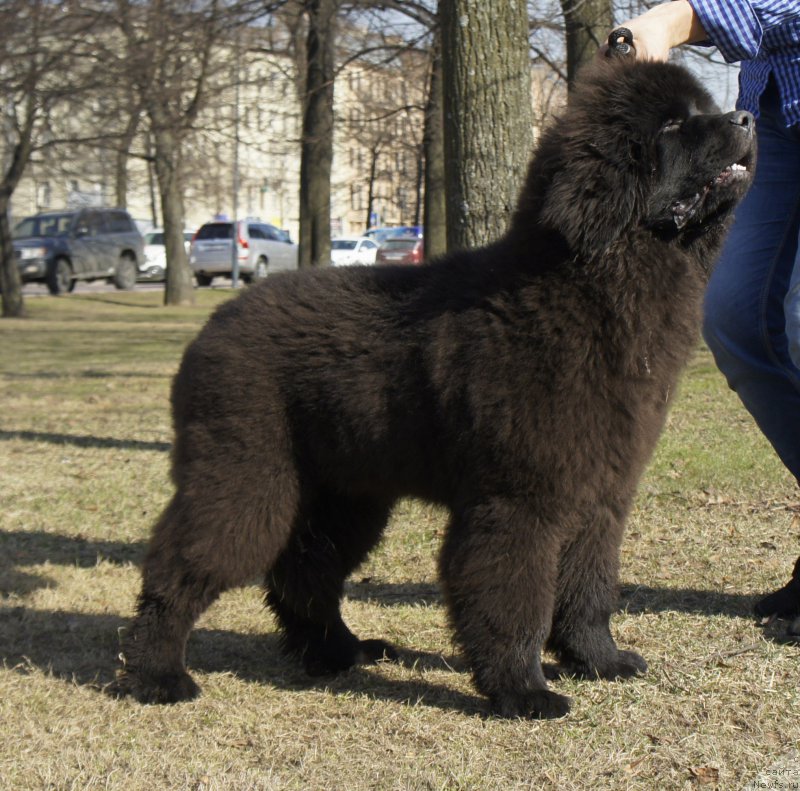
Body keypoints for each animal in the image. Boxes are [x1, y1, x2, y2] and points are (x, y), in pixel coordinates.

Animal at [115, 60, 752, 716]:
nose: (745, 116)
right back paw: (157, 674)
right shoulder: (518, 500)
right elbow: (512, 596)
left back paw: (339, 652)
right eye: (672, 124)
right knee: (180, 567)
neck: (581, 288)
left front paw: (600, 661)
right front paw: (523, 690)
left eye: (703, 110)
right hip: (246, 476)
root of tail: (216, 322)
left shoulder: (600, 494)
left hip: (346, 493)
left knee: (305, 571)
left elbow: (589, 587)